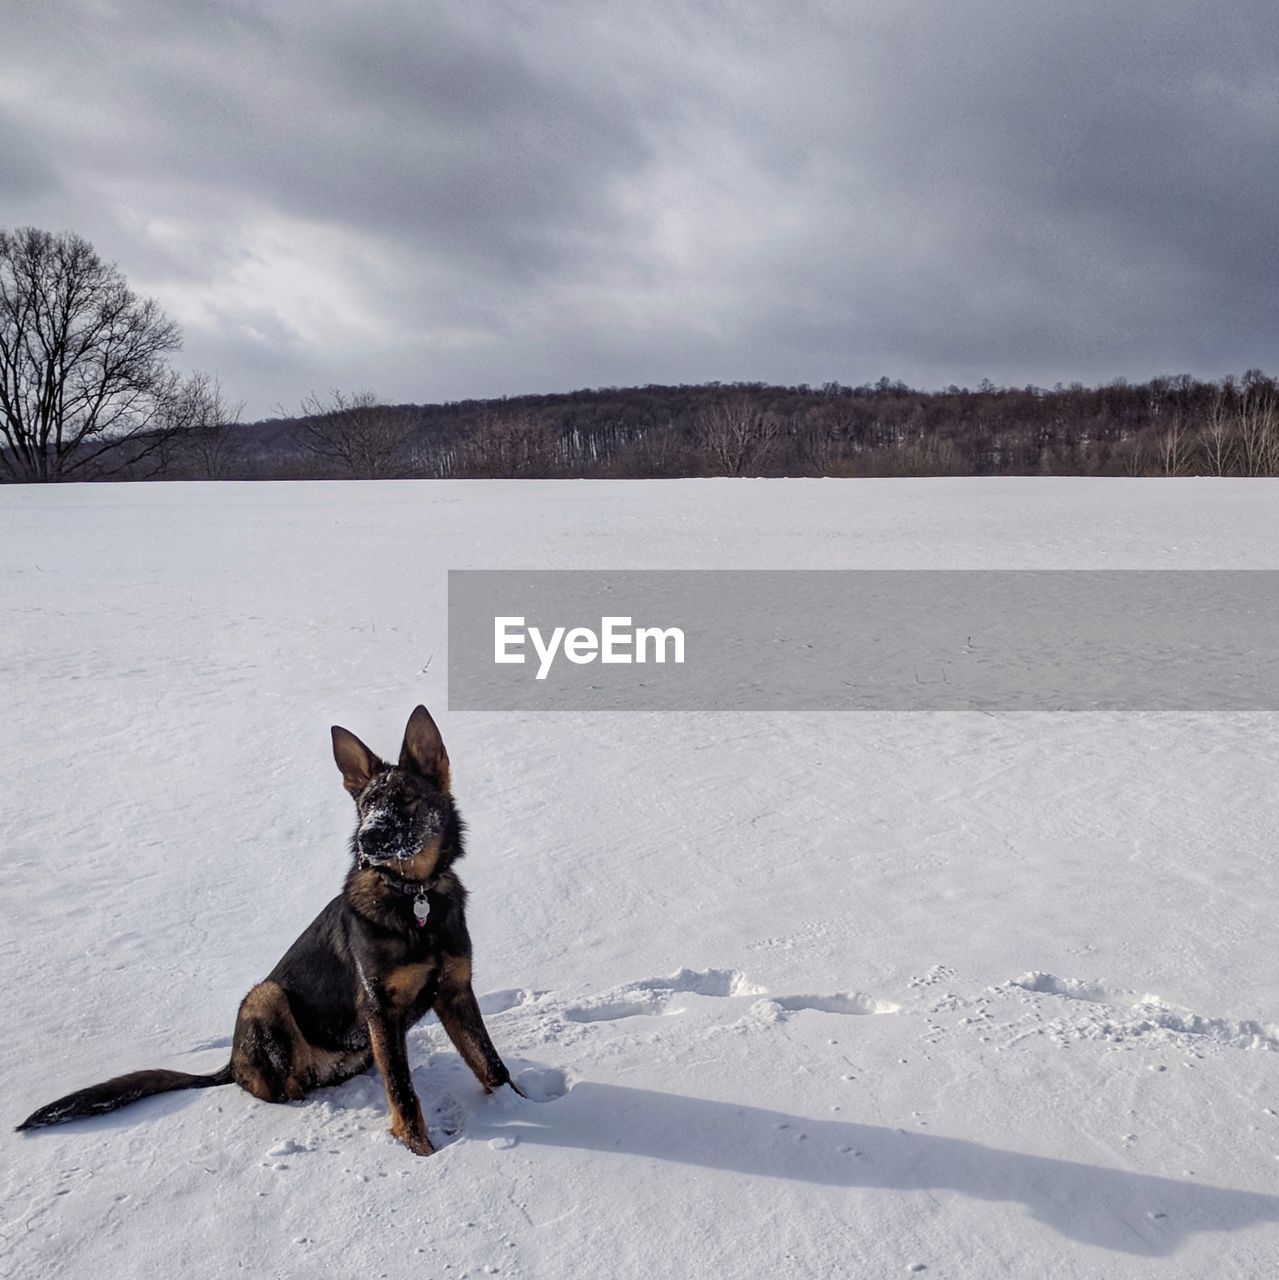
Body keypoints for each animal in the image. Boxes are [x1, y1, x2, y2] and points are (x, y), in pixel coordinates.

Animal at [15, 706, 514, 1157]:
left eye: (406, 798)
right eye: (367, 805)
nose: (368, 839)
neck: (413, 898)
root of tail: (230, 1063)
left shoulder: (455, 991)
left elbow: (491, 1065)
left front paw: (517, 1105)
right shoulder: (381, 1010)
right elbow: (404, 1095)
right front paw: (421, 1153)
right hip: (265, 997)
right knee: (283, 1087)